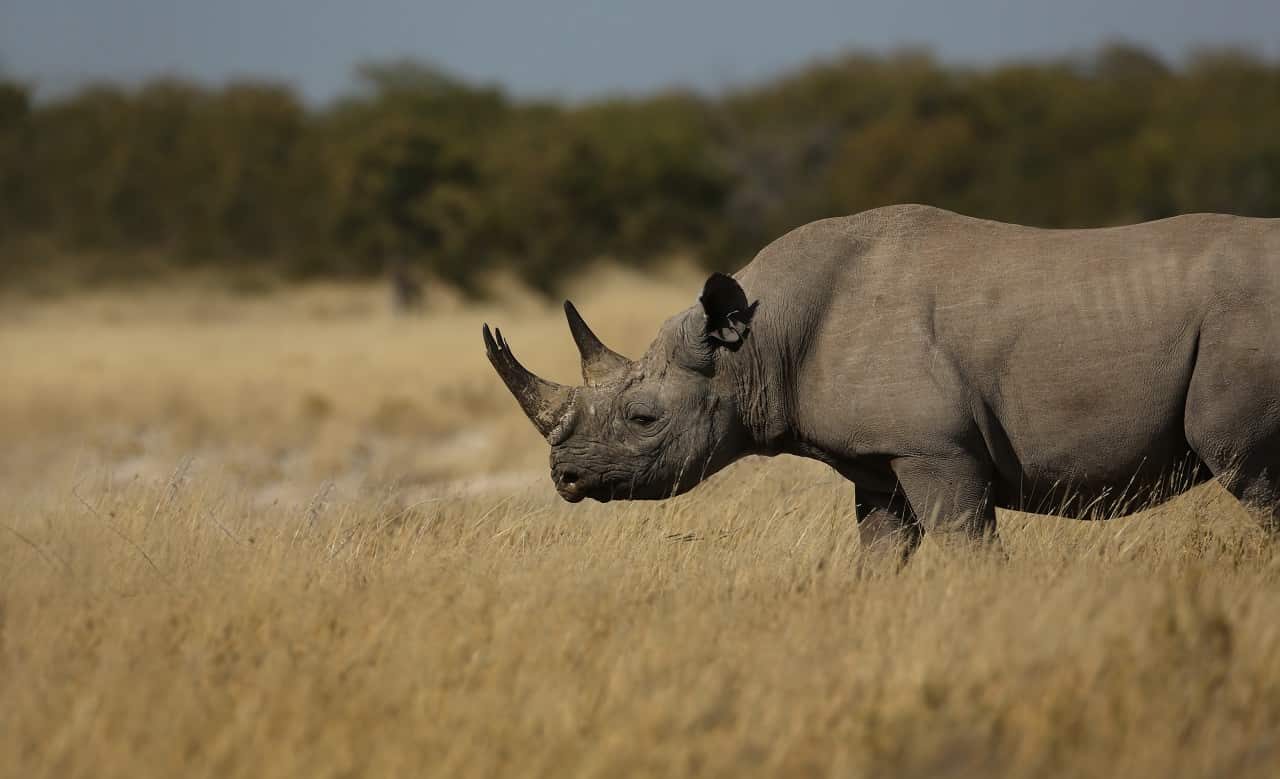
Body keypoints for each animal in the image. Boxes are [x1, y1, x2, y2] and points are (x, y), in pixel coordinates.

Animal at [483, 204, 1280, 559]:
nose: (564, 477)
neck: (757, 344)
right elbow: (880, 555)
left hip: (1244, 329)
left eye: (644, 419)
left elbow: (966, 550)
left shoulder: (938, 452)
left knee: (1246, 467)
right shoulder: (880, 461)